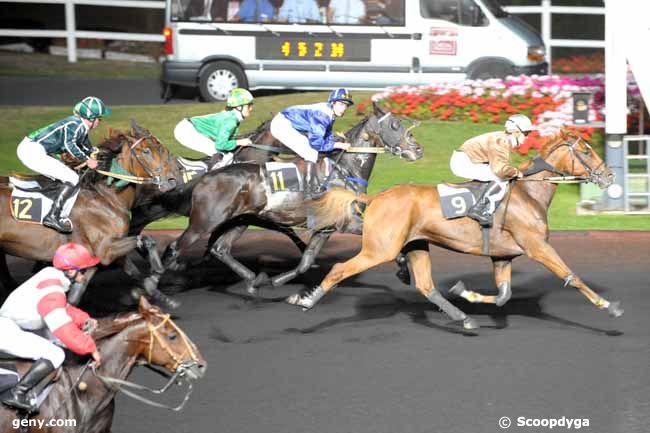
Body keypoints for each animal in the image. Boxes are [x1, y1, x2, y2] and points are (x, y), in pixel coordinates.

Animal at [0, 121, 181, 308]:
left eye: (162, 149)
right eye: (146, 151)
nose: (172, 180)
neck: (107, 196)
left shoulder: (105, 252)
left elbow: (132, 271)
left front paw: (160, 295)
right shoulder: (104, 249)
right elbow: (146, 240)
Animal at [161, 104, 422, 294]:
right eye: (395, 125)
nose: (418, 150)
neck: (344, 169)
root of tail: (206, 176)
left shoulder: (325, 227)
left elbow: (306, 260)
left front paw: (278, 281)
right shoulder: (347, 221)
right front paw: (404, 272)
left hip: (239, 220)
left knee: (220, 248)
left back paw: (255, 280)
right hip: (204, 222)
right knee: (175, 248)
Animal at [292, 130, 620, 330]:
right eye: (587, 151)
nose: (609, 176)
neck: (528, 193)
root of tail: (375, 197)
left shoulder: (503, 256)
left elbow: (503, 295)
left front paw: (466, 293)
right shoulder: (538, 246)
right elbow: (571, 276)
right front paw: (609, 306)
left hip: (415, 245)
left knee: (426, 286)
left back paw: (464, 318)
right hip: (380, 249)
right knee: (338, 269)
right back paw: (306, 300)